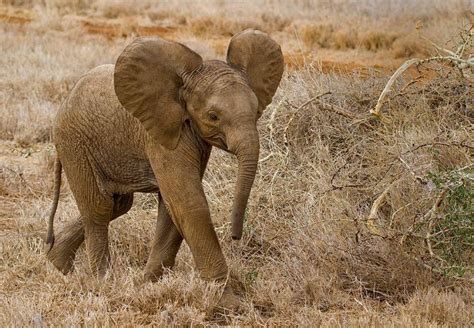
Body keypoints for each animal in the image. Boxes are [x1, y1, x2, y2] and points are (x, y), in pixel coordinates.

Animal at [45, 28, 282, 308]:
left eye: (256, 110)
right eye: (213, 116)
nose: (235, 236)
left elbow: (171, 205)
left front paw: (147, 283)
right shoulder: (161, 134)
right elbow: (187, 202)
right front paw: (229, 303)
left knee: (118, 205)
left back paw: (57, 265)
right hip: (75, 144)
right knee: (99, 209)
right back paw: (101, 281)